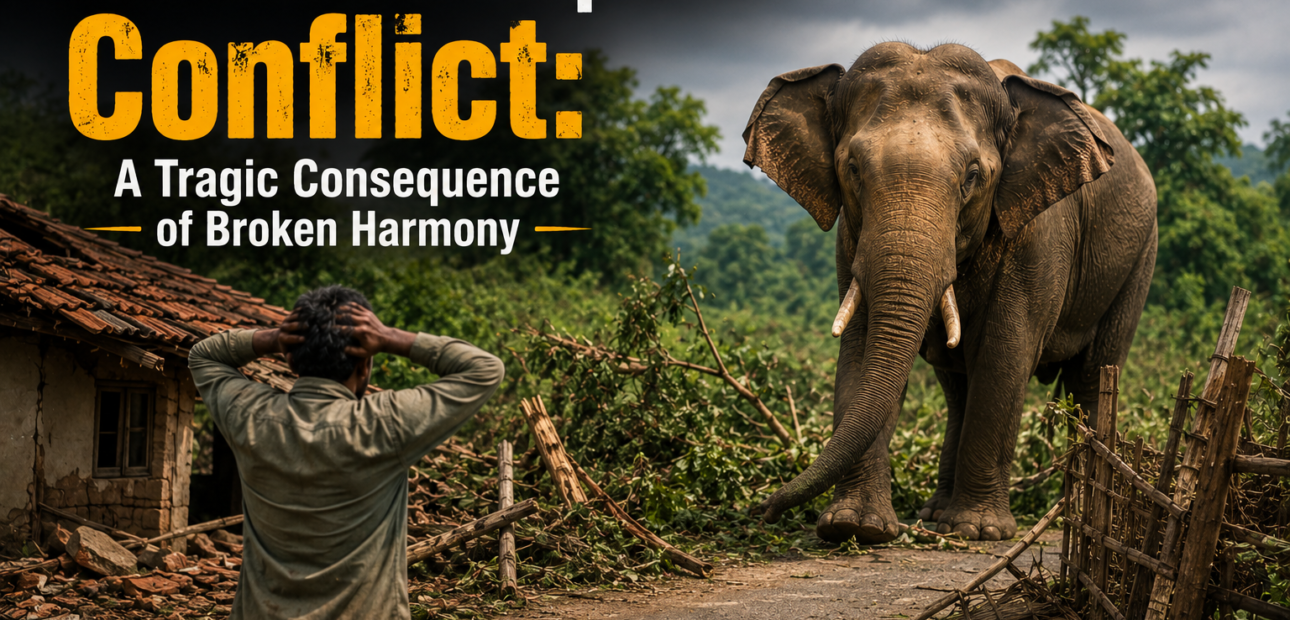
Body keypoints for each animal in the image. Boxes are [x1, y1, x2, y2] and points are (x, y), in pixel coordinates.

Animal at [742, 42, 1157, 542]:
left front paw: (979, 532)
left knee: (1093, 377)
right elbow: (860, 349)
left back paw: (1071, 512)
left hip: (1140, 259)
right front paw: (855, 527)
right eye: (853, 169)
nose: (759, 509)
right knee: (957, 386)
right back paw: (935, 513)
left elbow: (1004, 355)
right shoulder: (849, 239)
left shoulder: (1039, 235)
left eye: (972, 176)